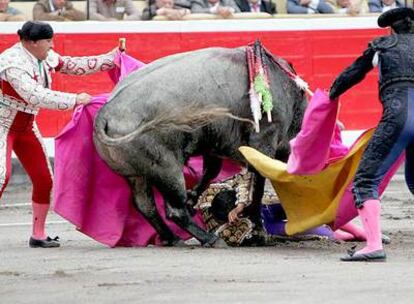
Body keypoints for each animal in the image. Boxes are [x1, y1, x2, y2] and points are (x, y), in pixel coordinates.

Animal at [94, 47, 308, 247]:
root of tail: (105, 113)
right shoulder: (263, 140)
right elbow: (257, 185)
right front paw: (258, 230)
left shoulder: (213, 143)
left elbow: (212, 170)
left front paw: (192, 198)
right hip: (167, 169)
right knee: (173, 210)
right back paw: (210, 239)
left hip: (135, 174)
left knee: (145, 205)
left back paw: (173, 238)